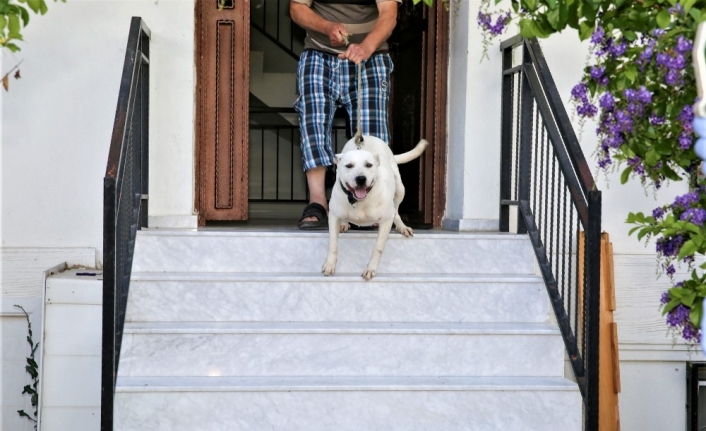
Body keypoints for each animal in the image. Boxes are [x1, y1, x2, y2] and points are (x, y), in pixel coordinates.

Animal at [322, 137, 426, 282]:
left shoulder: (386, 221)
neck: (359, 201)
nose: (361, 178)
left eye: (369, 165)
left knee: (396, 211)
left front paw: (370, 269)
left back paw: (402, 226)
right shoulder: (333, 217)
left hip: (400, 188)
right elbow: (333, 243)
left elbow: (378, 248)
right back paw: (344, 223)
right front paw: (329, 265)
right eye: (349, 166)